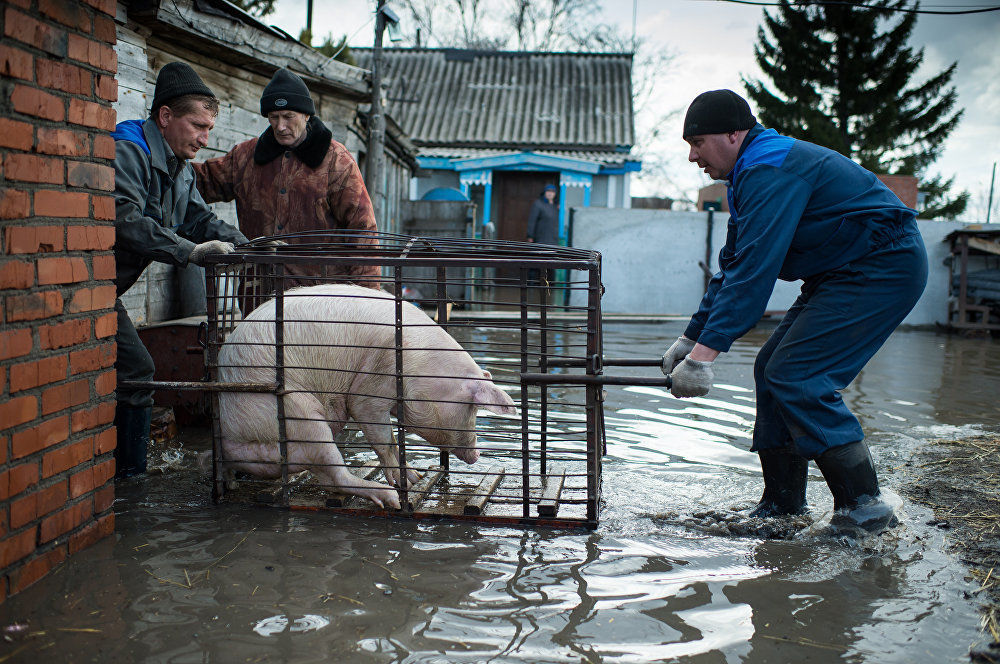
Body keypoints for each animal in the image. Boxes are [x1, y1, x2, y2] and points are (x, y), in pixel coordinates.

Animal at [218, 284, 516, 508]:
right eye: (472, 408)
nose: (478, 454)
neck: (420, 366)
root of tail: (230, 434)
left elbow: (393, 439)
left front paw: (416, 476)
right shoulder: (371, 385)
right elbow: (383, 437)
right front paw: (408, 481)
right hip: (297, 414)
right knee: (335, 477)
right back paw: (390, 499)